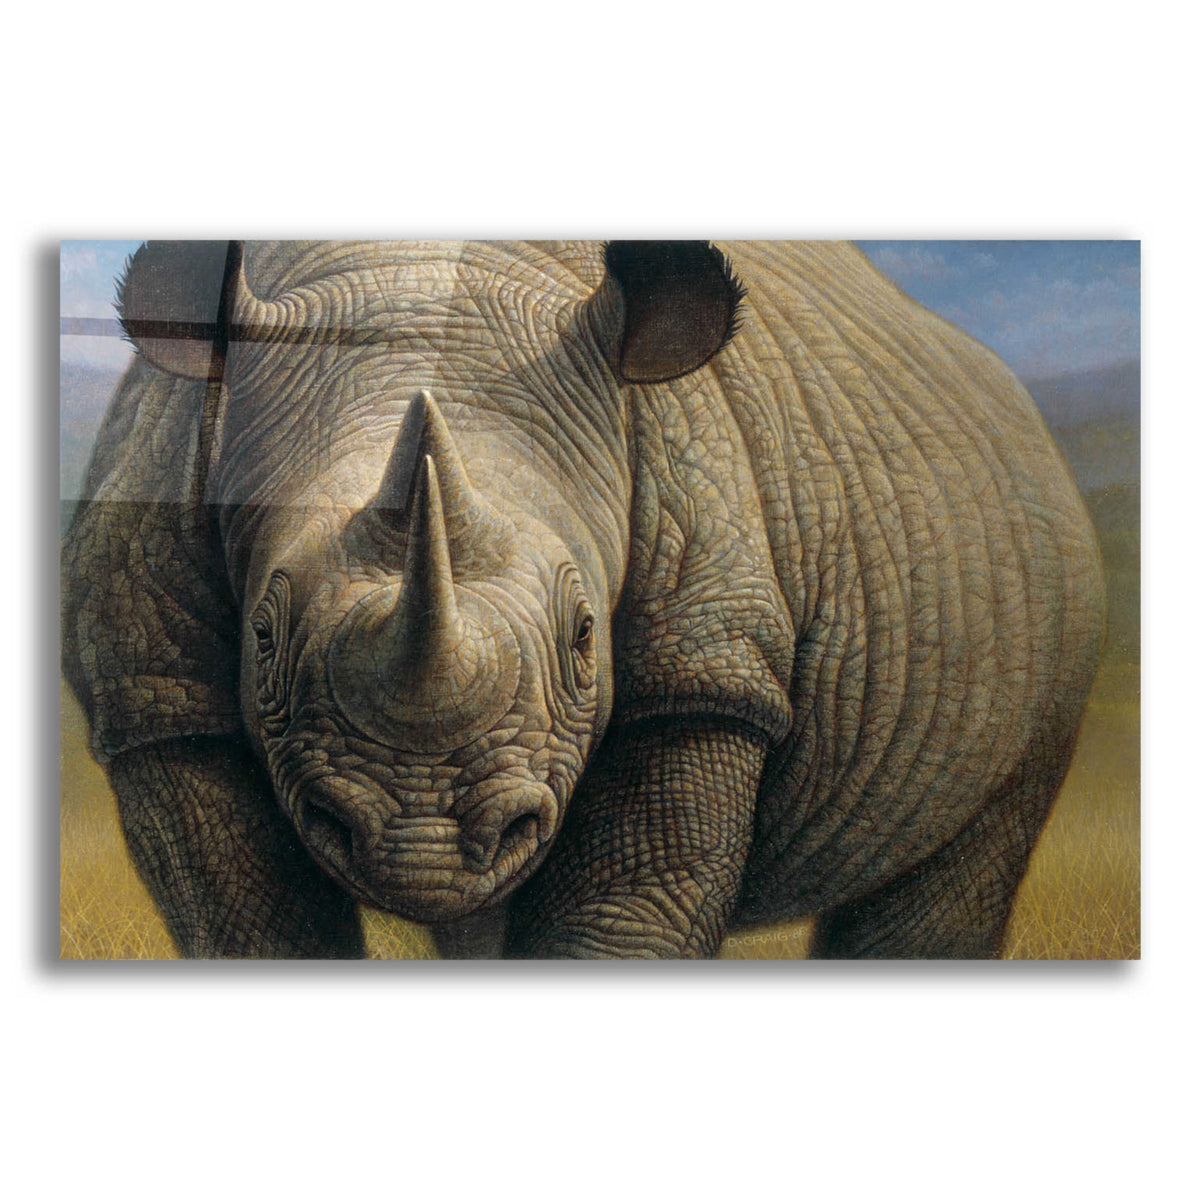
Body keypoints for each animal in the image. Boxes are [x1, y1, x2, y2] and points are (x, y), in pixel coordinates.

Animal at [61, 240, 1104, 959]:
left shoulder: (706, 667)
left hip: (1040, 572)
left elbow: (624, 912)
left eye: (584, 635)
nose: (424, 842)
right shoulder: (154, 688)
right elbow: (245, 917)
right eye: (265, 635)